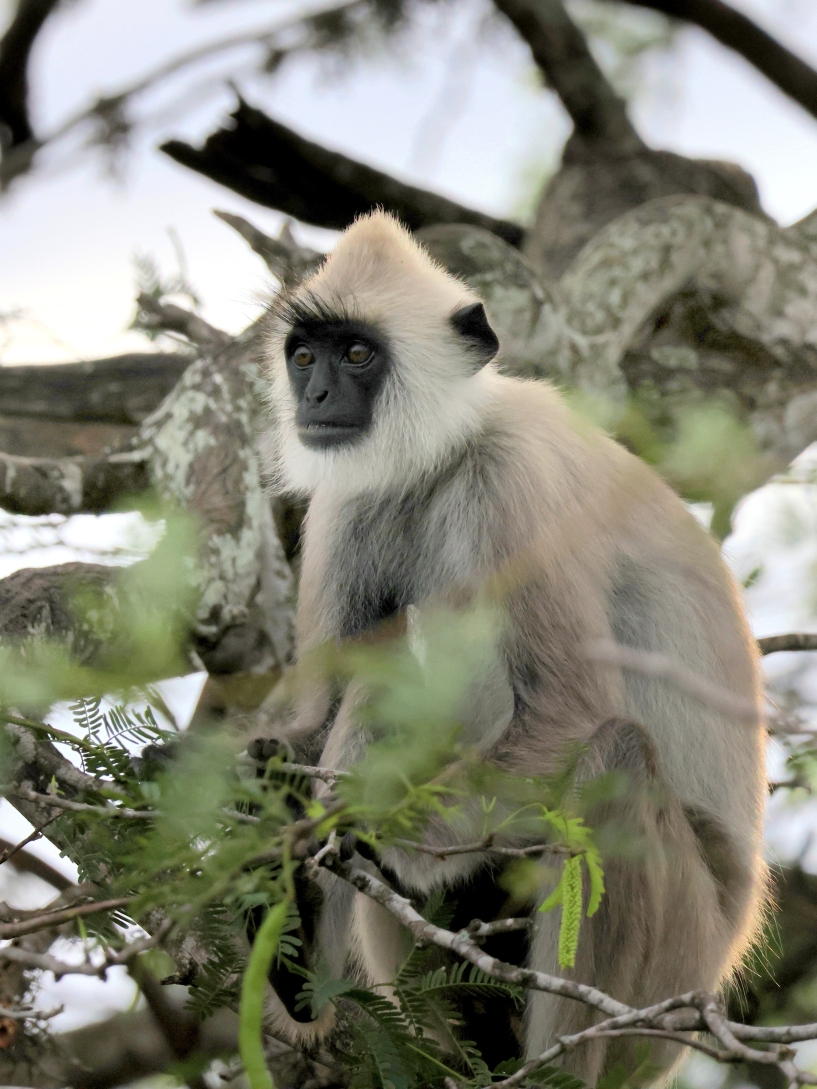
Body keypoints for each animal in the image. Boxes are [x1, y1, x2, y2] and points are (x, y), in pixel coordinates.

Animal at [260, 210, 766, 1080]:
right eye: (304, 356)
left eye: (356, 353)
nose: (315, 394)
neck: (443, 456)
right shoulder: (348, 503)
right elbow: (317, 712)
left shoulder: (513, 484)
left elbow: (570, 709)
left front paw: (352, 826)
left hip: (671, 973)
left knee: (613, 754)